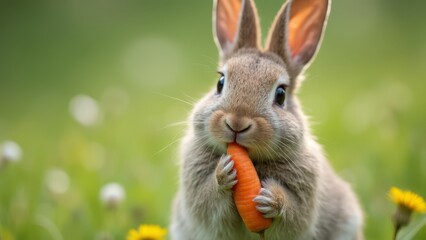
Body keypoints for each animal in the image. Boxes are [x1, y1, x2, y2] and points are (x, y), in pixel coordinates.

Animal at [170, 0, 362, 239]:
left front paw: (272, 200)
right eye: (220, 83)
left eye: (280, 94)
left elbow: (293, 216)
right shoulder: (197, 193)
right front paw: (224, 173)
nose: (237, 123)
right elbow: (208, 201)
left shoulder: (304, 198)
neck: (253, 161)